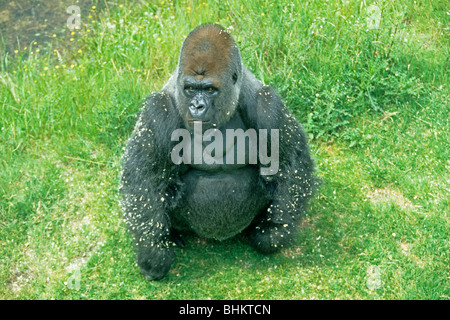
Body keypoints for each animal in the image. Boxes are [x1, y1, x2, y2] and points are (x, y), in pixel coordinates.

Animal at [119, 24, 316, 280]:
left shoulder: (267, 106)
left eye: (210, 89)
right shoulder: (158, 111)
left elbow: (290, 165)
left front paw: (272, 233)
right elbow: (145, 182)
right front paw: (154, 253)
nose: (197, 106)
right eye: (190, 89)